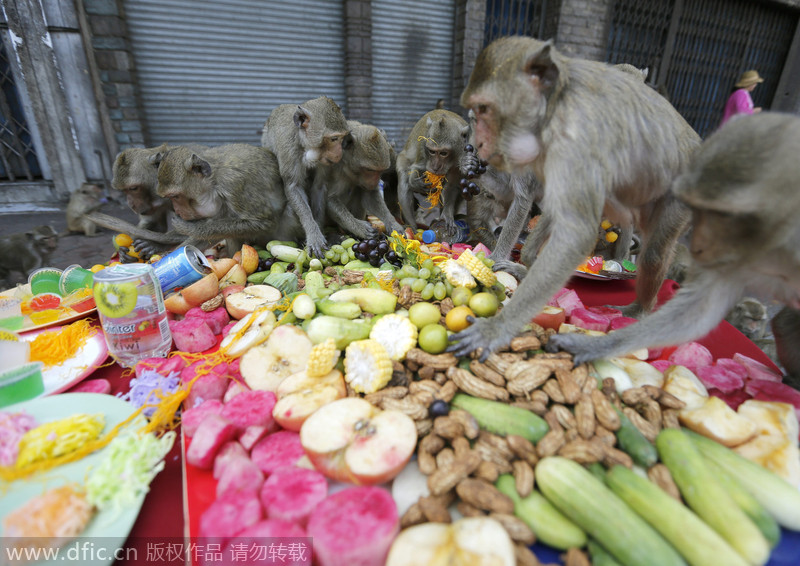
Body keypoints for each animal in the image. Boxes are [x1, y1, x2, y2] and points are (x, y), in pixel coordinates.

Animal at [262, 97, 350, 258]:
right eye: (334, 139)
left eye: (342, 138)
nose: (339, 153)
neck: (304, 144)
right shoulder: (289, 150)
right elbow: (293, 186)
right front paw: (313, 234)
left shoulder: (324, 161)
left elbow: (319, 187)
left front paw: (319, 230)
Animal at [450, 37, 700, 362]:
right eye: (475, 114)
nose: (474, 138)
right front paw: (468, 165)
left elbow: (525, 201)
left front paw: (495, 260)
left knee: (653, 250)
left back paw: (637, 305)